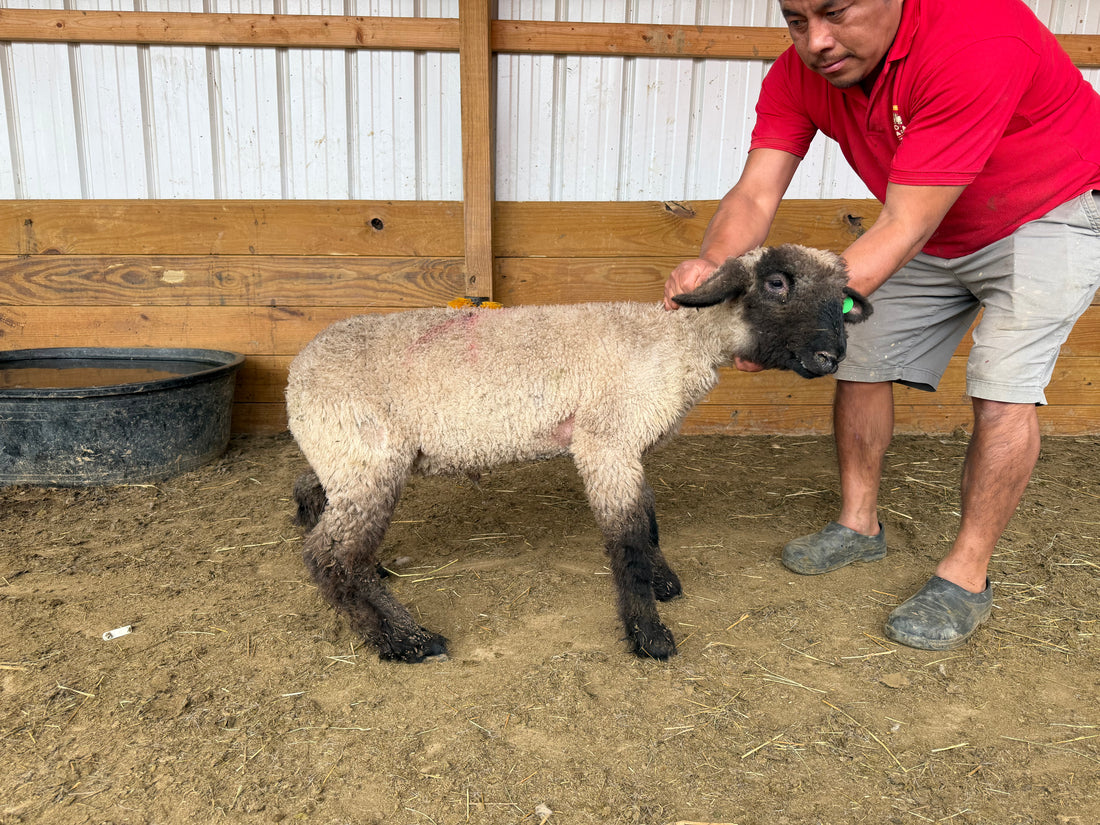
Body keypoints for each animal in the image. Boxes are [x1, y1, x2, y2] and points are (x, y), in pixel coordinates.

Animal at [285, 244, 871, 663]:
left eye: (843, 299)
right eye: (776, 283)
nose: (831, 356)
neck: (676, 345)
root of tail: (298, 371)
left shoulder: (628, 444)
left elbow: (648, 520)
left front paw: (662, 581)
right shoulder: (606, 440)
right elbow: (628, 537)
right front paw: (649, 635)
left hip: (346, 456)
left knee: (313, 500)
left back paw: (376, 577)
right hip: (367, 458)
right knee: (330, 555)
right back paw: (403, 640)